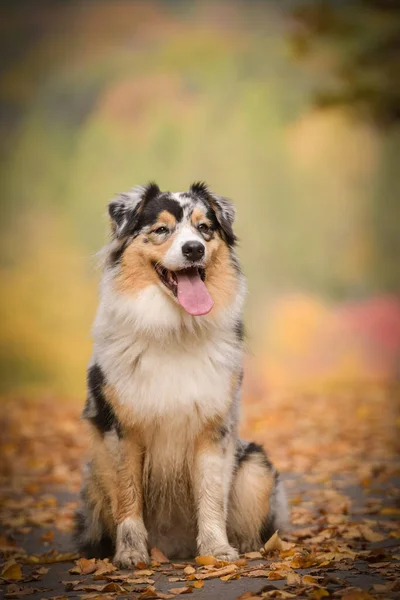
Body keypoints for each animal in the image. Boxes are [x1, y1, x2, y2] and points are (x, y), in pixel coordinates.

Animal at [75, 180, 288, 564]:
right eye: (162, 229)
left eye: (205, 228)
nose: (193, 249)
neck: (174, 328)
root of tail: (173, 548)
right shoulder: (120, 428)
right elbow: (128, 495)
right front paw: (130, 554)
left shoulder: (214, 426)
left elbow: (211, 494)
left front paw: (217, 550)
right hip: (92, 478)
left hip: (256, 465)